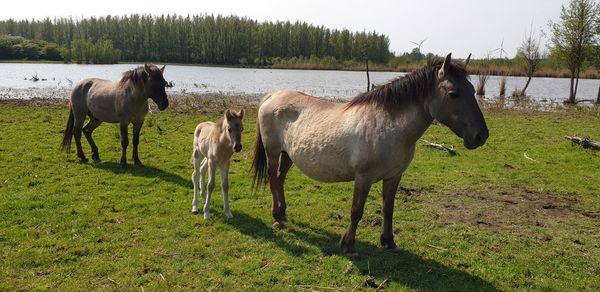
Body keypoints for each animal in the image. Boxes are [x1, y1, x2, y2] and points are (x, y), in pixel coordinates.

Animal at [251, 53, 490, 256]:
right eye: (453, 93)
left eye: (472, 89)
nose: (481, 135)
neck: (388, 126)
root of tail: (272, 96)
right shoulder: (363, 178)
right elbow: (357, 211)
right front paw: (348, 245)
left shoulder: (394, 177)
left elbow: (388, 209)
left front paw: (389, 241)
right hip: (273, 152)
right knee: (273, 179)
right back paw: (277, 216)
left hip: (288, 154)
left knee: (280, 178)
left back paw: (283, 212)